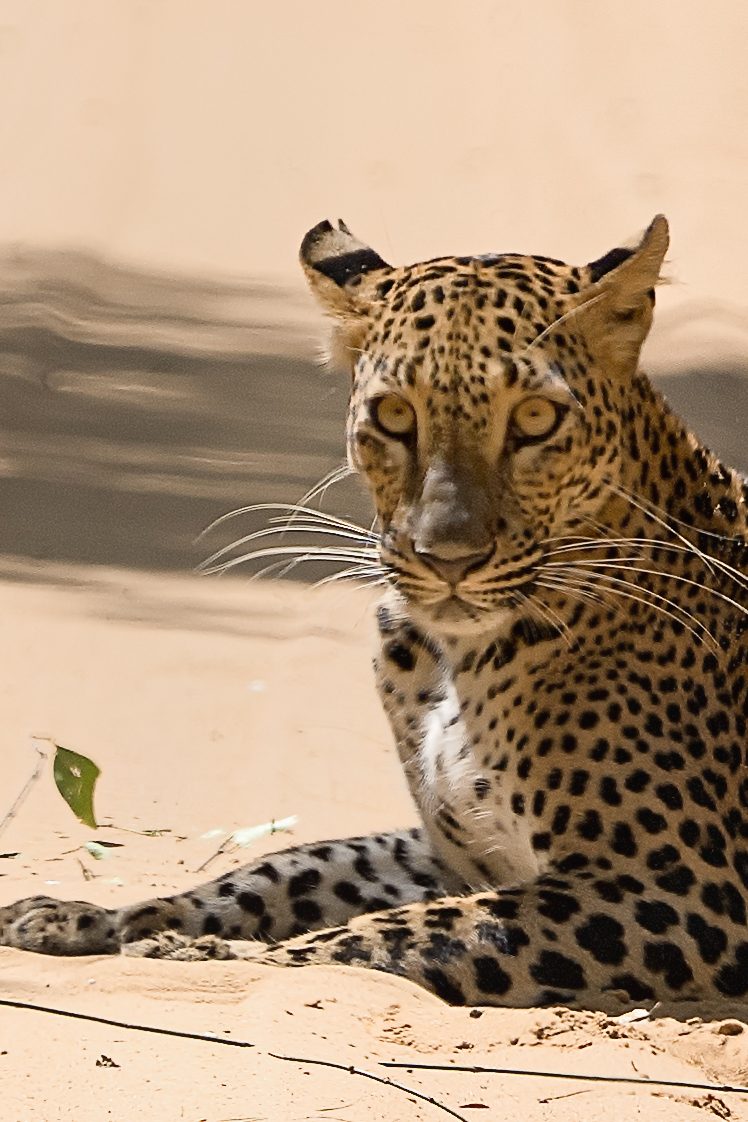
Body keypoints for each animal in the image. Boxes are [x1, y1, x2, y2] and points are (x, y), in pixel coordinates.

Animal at [3, 215, 748, 1010]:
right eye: (395, 415)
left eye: (536, 418)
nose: (448, 557)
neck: (453, 659)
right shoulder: (456, 851)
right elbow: (292, 867)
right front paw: (99, 916)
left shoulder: (685, 888)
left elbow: (404, 932)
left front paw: (201, 952)